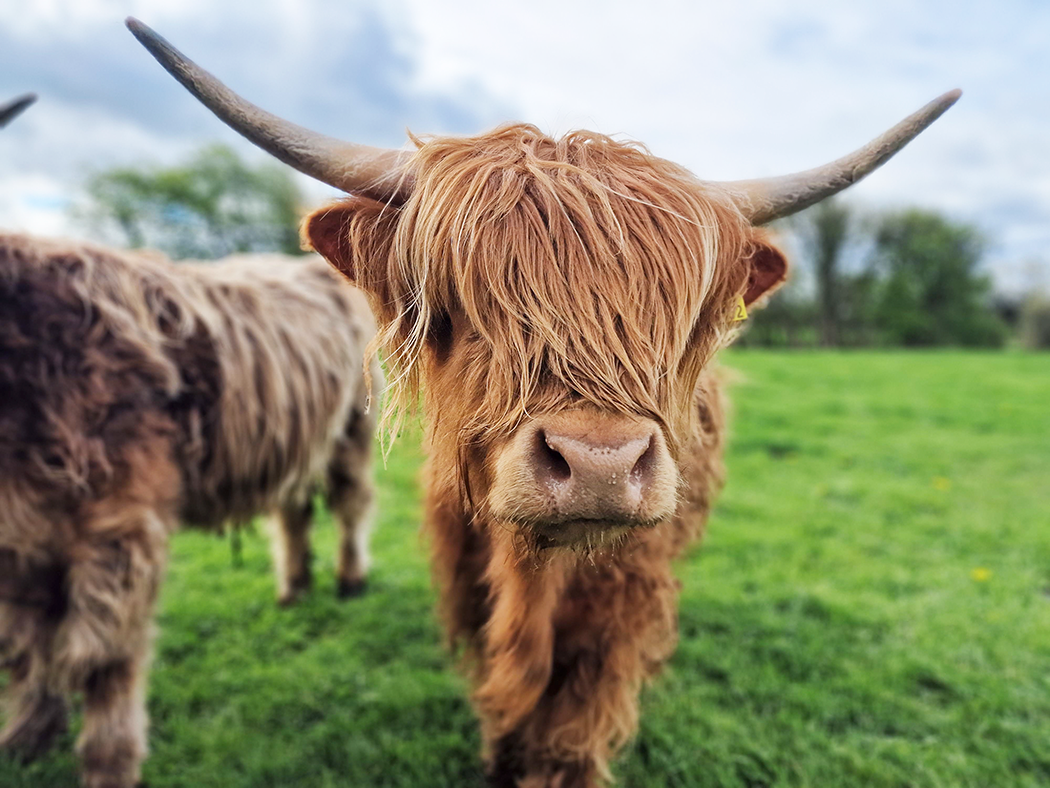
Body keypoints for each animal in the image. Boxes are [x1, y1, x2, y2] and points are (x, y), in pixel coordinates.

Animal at [0, 234, 382, 788]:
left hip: (351, 429)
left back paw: (350, 580)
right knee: (294, 512)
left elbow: (105, 657)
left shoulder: (119, 528)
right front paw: (26, 739)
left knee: (351, 505)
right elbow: (24, 648)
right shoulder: (19, 543)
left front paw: (110, 764)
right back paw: (293, 589)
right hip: (292, 439)